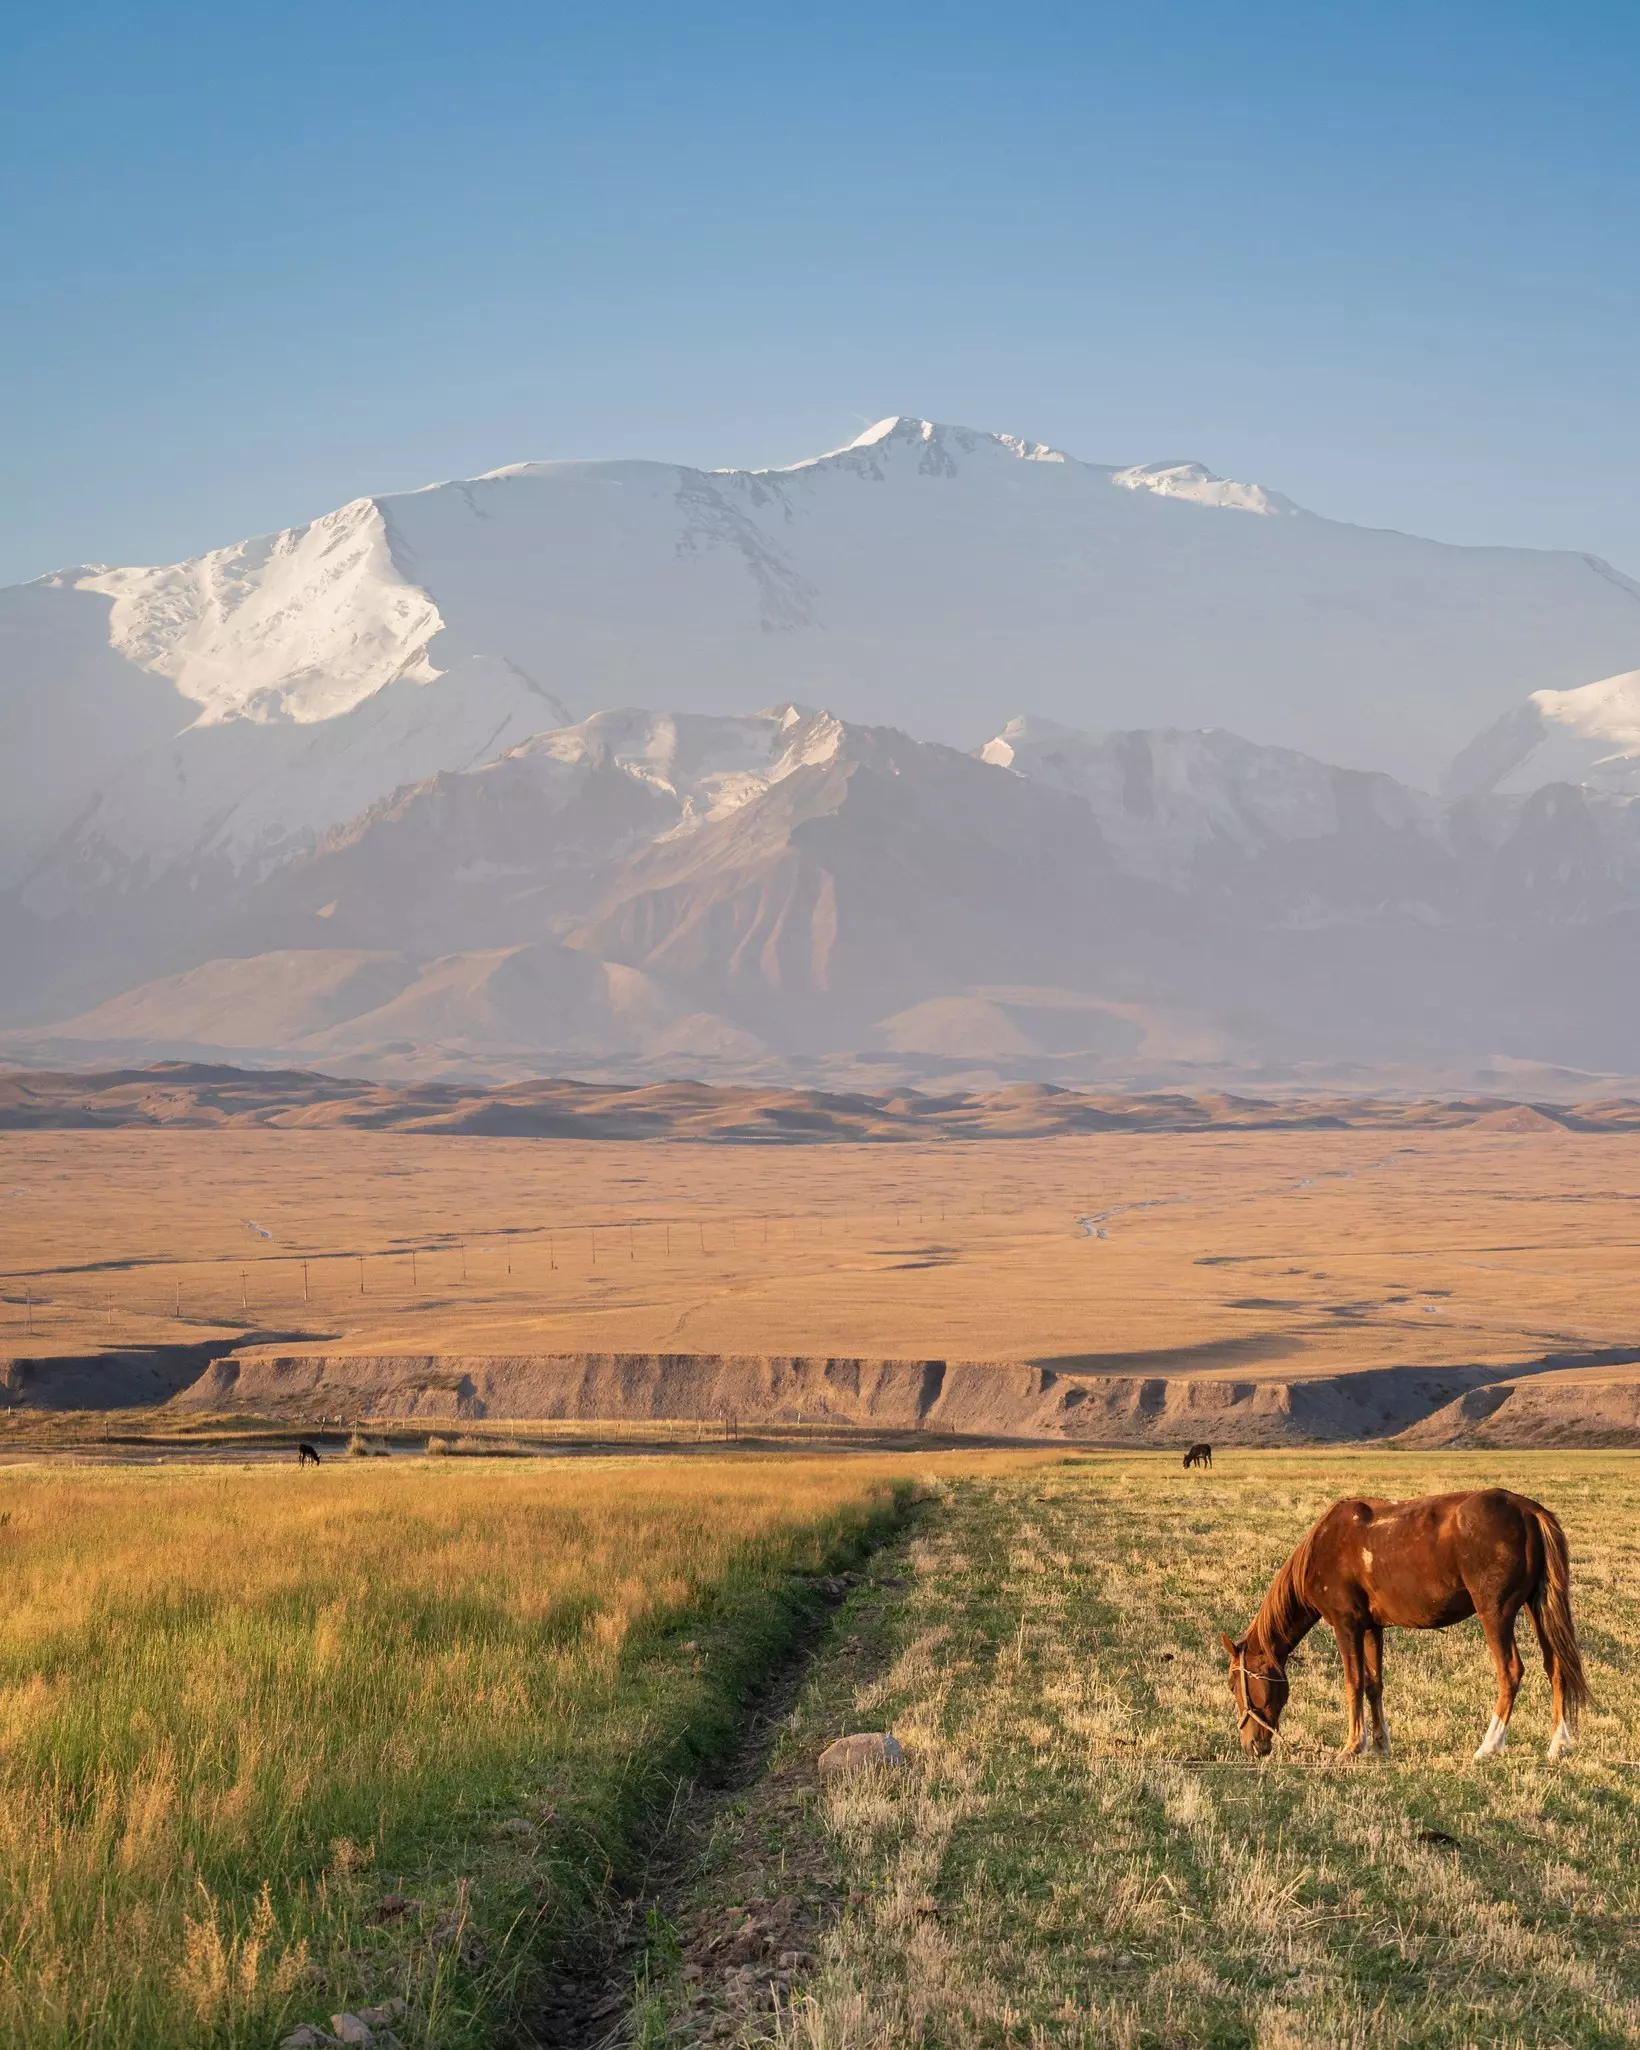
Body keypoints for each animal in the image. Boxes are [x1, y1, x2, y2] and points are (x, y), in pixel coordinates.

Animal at [1220, 1488, 1588, 1761]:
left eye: (1234, 1684)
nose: (1252, 1745)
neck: (1324, 1545)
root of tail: (1529, 1512)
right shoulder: (1372, 1627)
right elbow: (1373, 1684)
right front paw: (1380, 1745)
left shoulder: (1346, 1625)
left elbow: (1353, 1682)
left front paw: (1352, 1746)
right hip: (1536, 1608)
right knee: (1556, 1668)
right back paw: (1557, 1744)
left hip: (1495, 1613)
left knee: (1510, 1671)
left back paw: (1489, 1746)